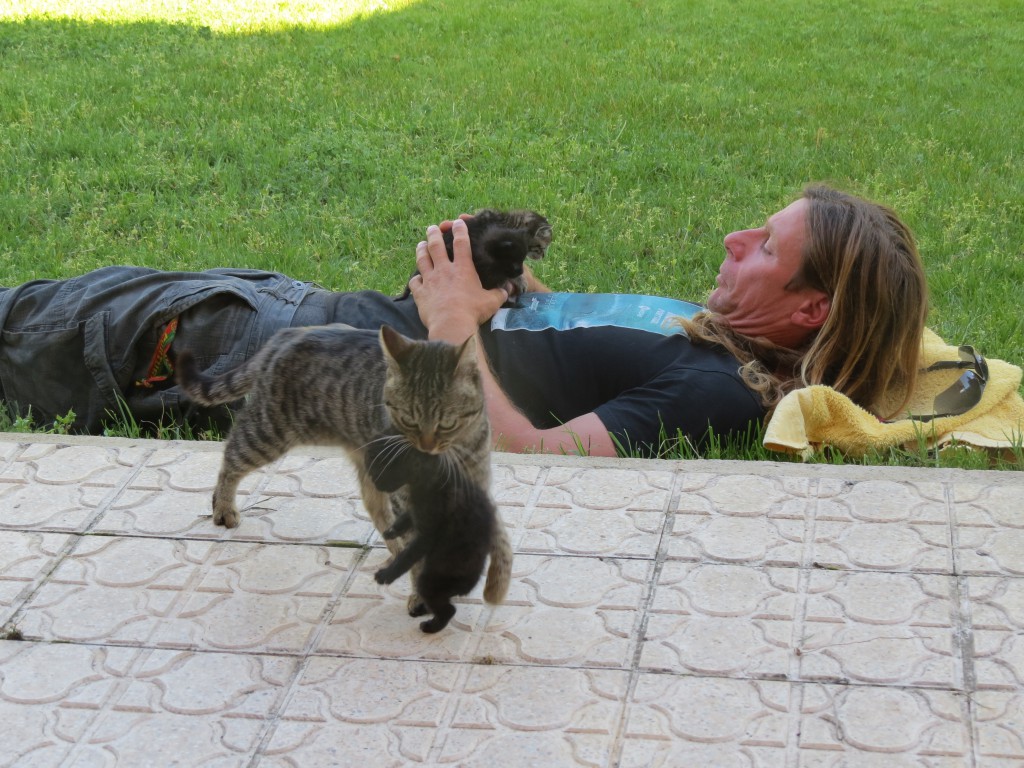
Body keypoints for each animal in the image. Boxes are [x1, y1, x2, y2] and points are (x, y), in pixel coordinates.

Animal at [176, 323, 516, 606]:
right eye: (408, 419)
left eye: (446, 423)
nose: (426, 445)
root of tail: (286, 334)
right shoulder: (408, 496)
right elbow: (421, 552)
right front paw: (423, 592)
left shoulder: (478, 483)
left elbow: (499, 536)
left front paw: (496, 586)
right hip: (267, 434)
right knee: (230, 456)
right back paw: (223, 507)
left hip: (365, 462)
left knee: (376, 510)